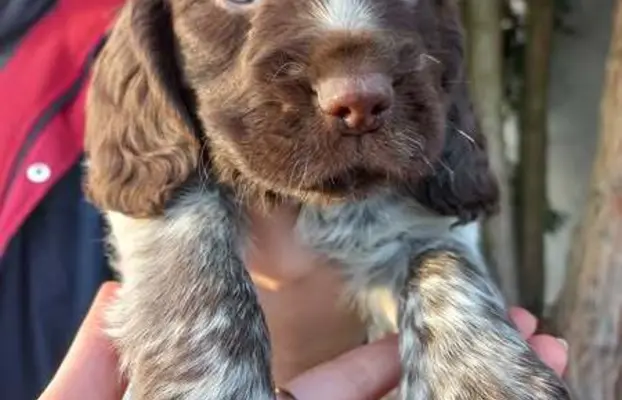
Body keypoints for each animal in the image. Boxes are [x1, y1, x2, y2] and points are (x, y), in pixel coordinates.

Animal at [84, 0, 576, 400]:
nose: (359, 101)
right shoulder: (159, 178)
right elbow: (197, 263)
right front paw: (210, 385)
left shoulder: (430, 221)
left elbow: (446, 261)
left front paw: (487, 379)